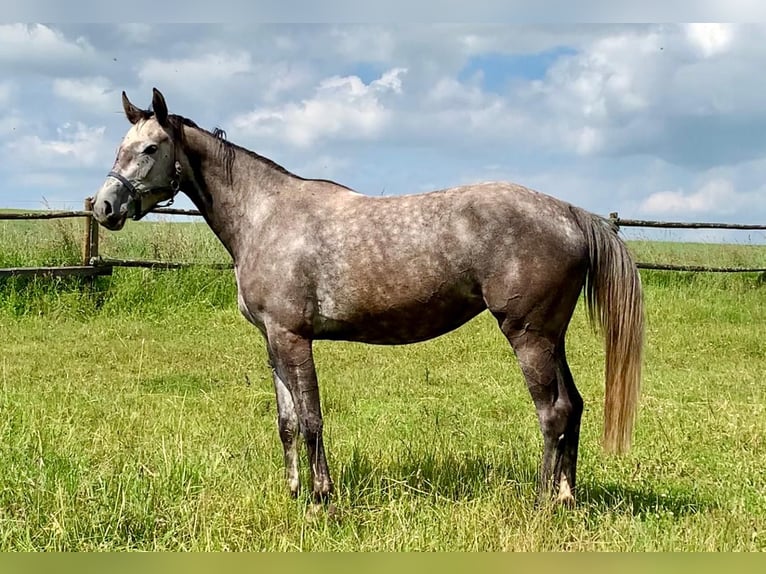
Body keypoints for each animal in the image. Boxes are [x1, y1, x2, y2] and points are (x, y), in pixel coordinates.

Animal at [90, 88, 644, 510]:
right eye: (122, 145)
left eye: (150, 148)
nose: (104, 206)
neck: (265, 216)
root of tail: (571, 213)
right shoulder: (272, 342)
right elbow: (286, 423)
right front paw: (294, 492)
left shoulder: (293, 339)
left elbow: (311, 420)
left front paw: (322, 499)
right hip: (552, 337)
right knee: (573, 406)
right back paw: (566, 497)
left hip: (528, 336)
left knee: (552, 412)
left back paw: (541, 501)